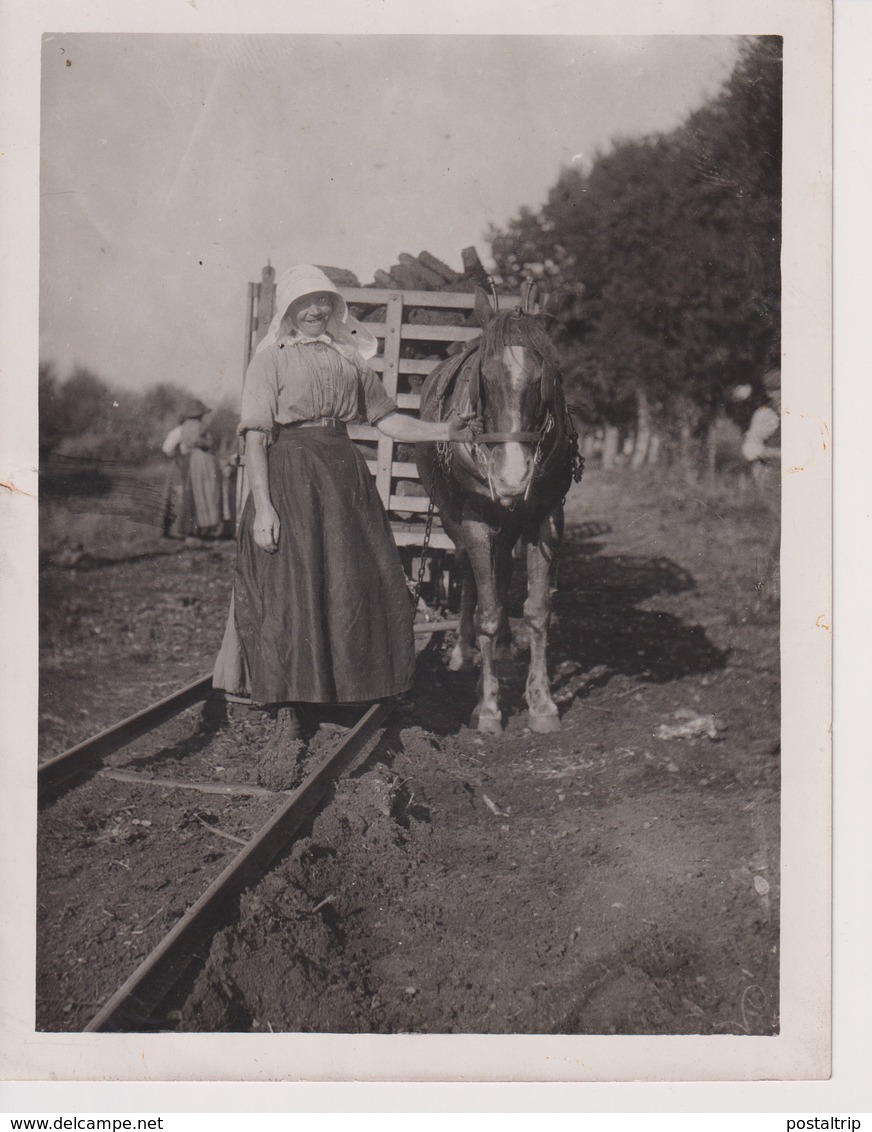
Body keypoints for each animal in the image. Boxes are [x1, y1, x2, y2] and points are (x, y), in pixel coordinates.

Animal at [416, 278, 579, 729]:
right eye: (484, 378)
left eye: (545, 378)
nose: (512, 476)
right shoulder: (474, 520)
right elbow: (486, 608)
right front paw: (487, 706)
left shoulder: (547, 517)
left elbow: (538, 610)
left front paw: (542, 703)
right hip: (456, 521)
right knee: (469, 574)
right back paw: (464, 651)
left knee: (503, 570)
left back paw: (504, 648)